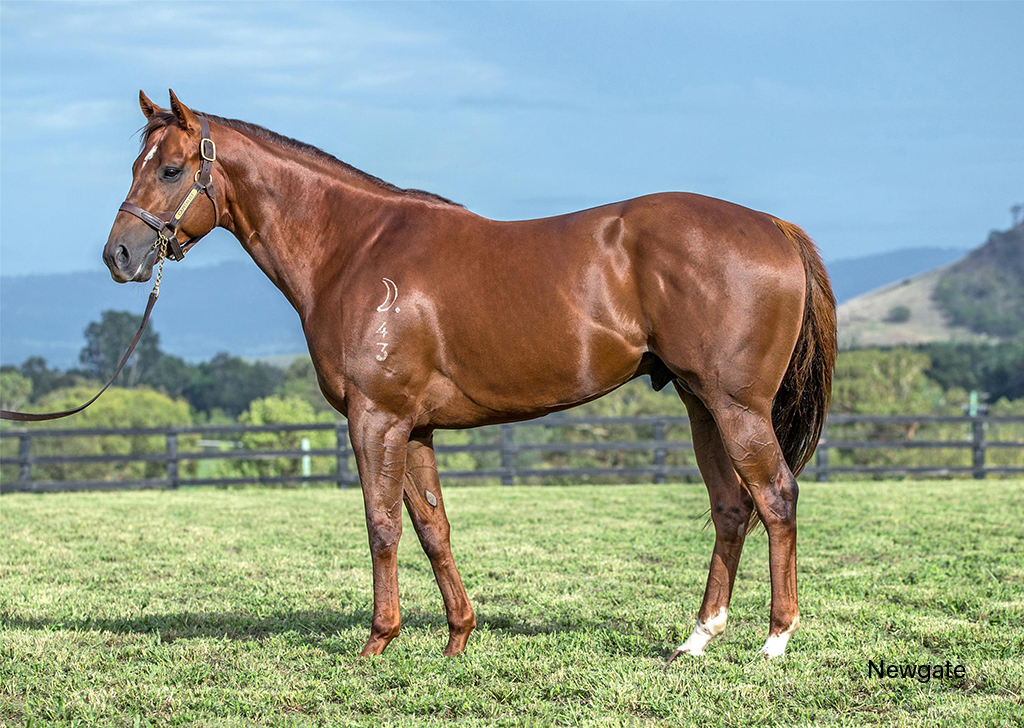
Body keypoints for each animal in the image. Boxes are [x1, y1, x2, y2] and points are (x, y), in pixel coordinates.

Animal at [103, 90, 836, 661]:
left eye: (170, 168)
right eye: (136, 165)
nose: (120, 255)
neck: (354, 248)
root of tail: (774, 227)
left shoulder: (377, 418)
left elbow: (382, 525)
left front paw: (379, 640)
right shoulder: (415, 427)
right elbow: (434, 528)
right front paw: (458, 636)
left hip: (736, 406)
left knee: (776, 497)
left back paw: (775, 640)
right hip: (699, 404)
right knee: (731, 506)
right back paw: (697, 638)